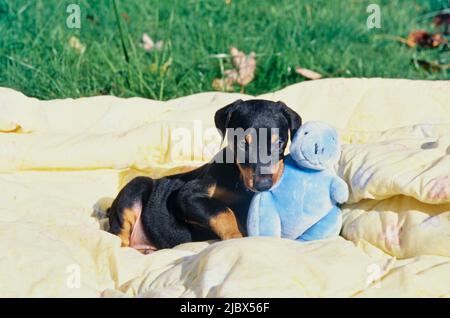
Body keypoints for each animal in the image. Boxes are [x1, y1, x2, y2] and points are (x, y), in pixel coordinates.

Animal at [107, 99, 300, 251]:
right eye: (242, 144)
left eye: (279, 143)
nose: (264, 185)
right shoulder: (187, 196)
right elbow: (221, 210)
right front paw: (236, 235)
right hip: (136, 187)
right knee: (119, 236)